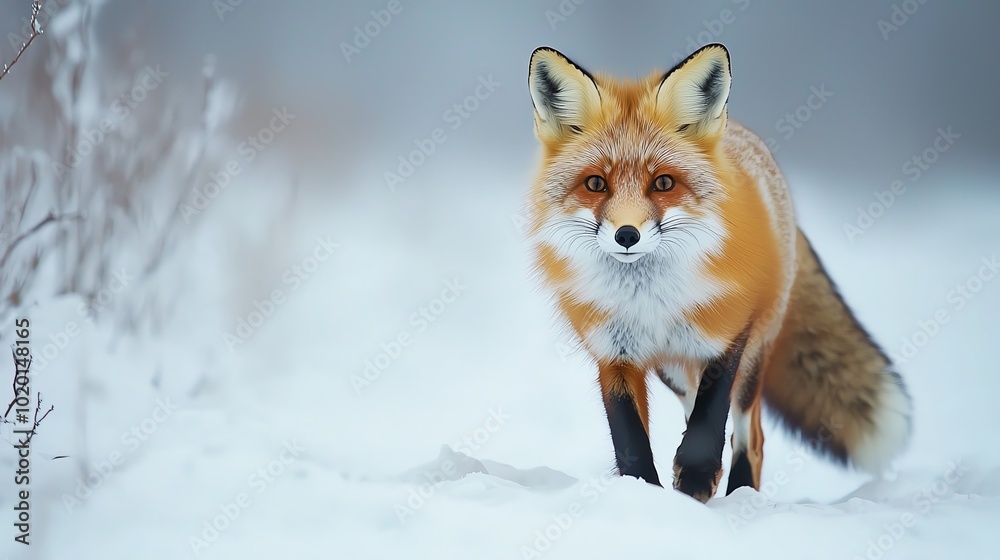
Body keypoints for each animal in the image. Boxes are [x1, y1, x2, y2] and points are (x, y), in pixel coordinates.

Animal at [525, 43, 912, 502]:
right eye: (596, 184)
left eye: (664, 183)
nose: (626, 235)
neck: (650, 302)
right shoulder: (613, 352)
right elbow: (630, 437)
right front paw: (645, 493)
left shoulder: (728, 336)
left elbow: (709, 420)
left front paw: (694, 477)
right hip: (674, 370)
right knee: (697, 412)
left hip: (752, 359)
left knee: (750, 436)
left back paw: (741, 494)